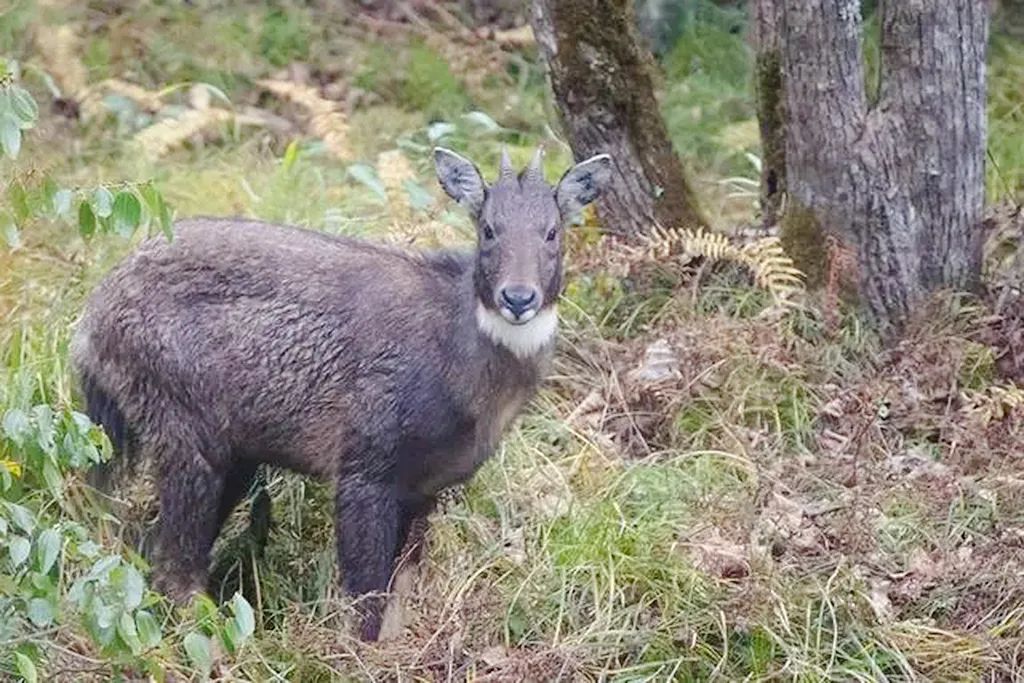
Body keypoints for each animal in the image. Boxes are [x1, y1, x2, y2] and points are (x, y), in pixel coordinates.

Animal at [74, 145, 614, 643]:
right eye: (488, 228)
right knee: (173, 567)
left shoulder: (424, 488)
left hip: (234, 453)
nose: (518, 298)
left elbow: (401, 589)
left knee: (149, 545)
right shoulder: (363, 467)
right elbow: (365, 595)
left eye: (552, 231)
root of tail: (89, 325)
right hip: (185, 433)